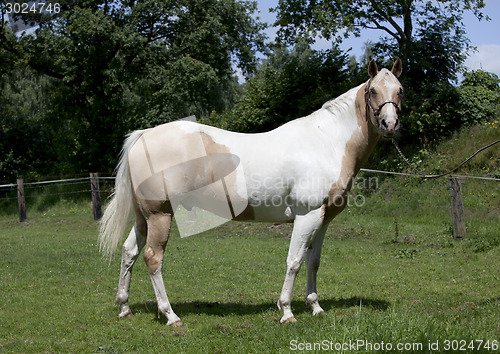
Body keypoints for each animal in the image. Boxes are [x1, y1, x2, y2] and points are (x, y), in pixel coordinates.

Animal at [99, 58, 404, 326]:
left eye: (400, 90)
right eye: (373, 91)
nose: (390, 125)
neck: (326, 142)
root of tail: (145, 135)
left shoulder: (323, 219)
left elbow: (313, 262)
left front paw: (315, 307)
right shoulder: (306, 216)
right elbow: (294, 261)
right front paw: (287, 311)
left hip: (144, 217)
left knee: (129, 252)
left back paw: (125, 308)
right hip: (160, 215)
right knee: (153, 257)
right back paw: (170, 315)